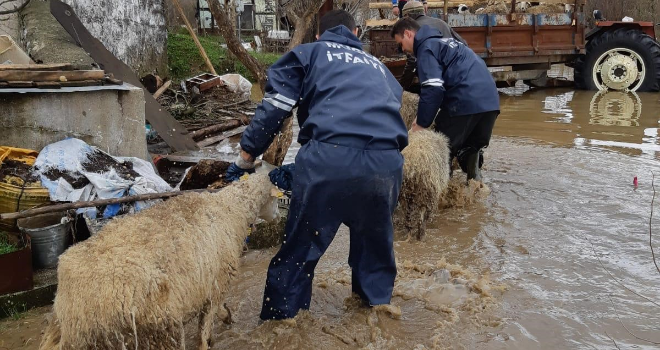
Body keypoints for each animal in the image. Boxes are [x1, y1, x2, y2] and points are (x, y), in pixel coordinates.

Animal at [40, 174, 278, 348]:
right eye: (274, 197)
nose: (277, 217)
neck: (231, 207)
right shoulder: (216, 284)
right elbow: (204, 328)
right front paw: (213, 333)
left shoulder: (209, 288)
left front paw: (226, 316)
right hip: (156, 333)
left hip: (60, 327)